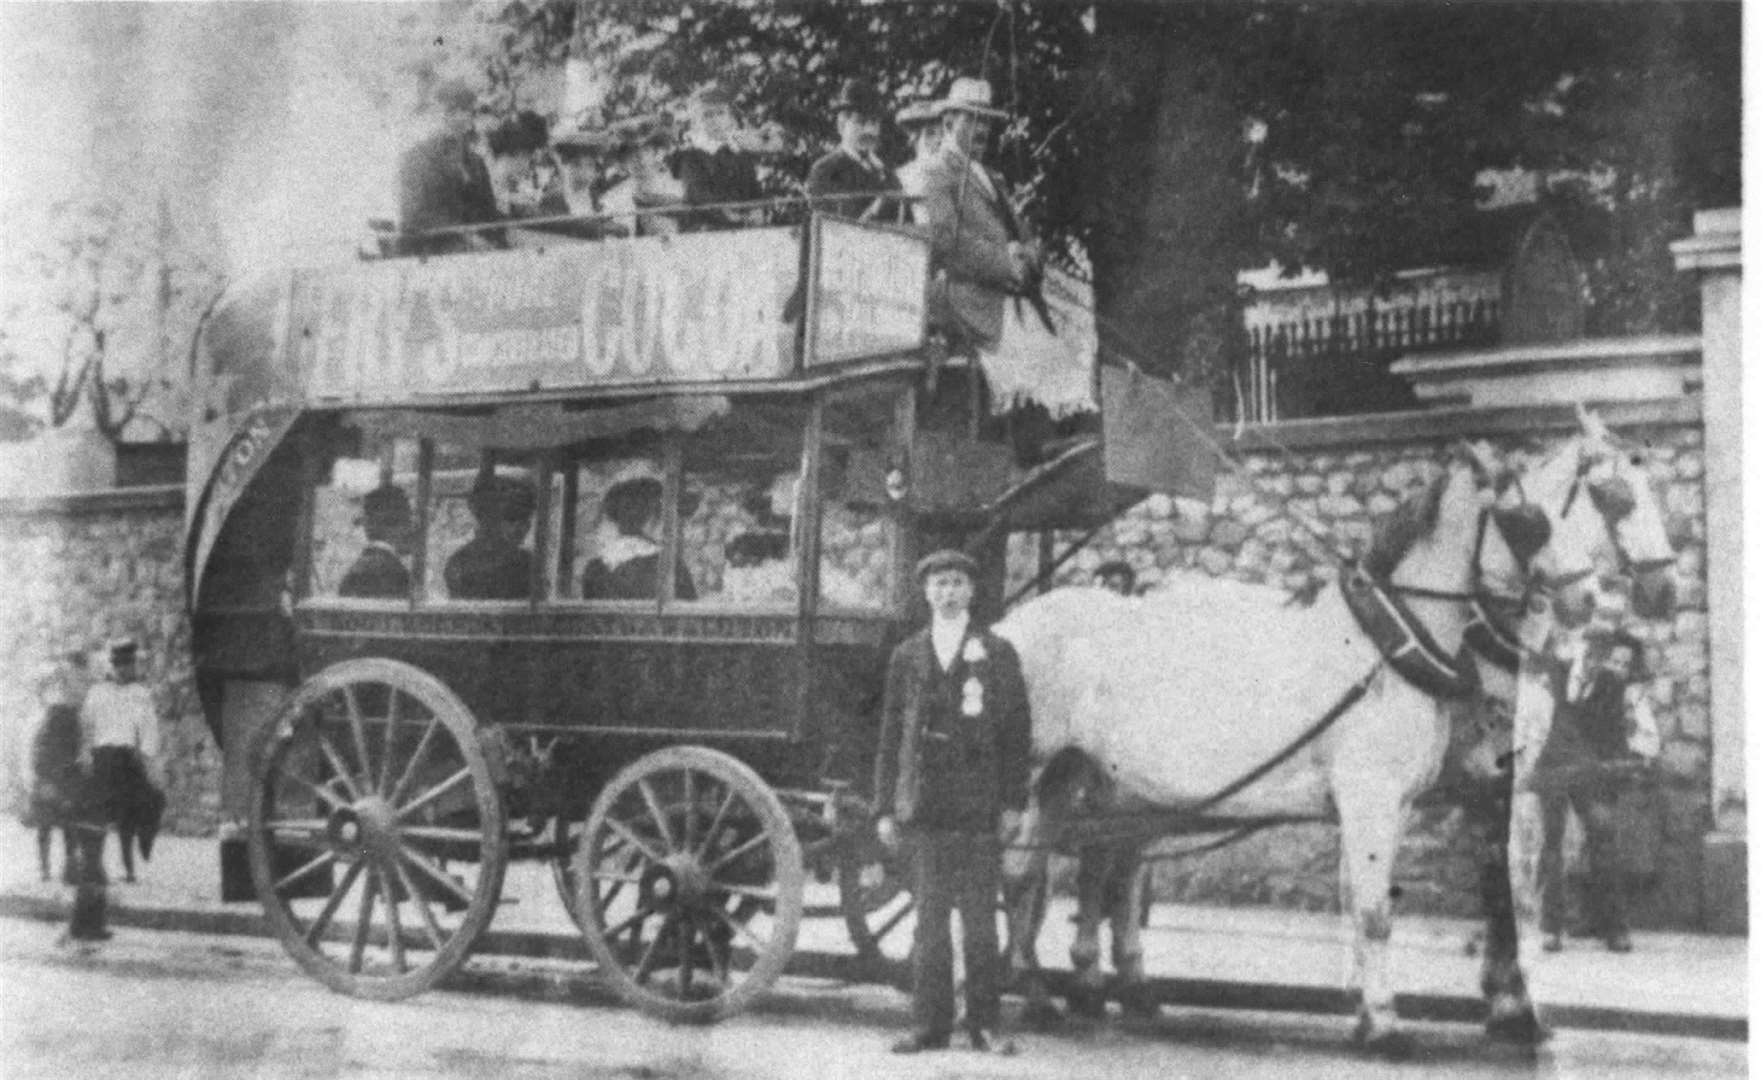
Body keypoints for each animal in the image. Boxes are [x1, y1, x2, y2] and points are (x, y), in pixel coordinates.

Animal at [1001, 440, 1509, 1050]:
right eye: (1530, 518)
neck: (1385, 645)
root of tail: (1009, 625)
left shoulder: (1398, 803)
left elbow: (1365, 900)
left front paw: (1368, 1013)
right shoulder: (1374, 796)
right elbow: (1374, 910)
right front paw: (1388, 1023)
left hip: (1074, 776)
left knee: (1053, 872)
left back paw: (1056, 993)